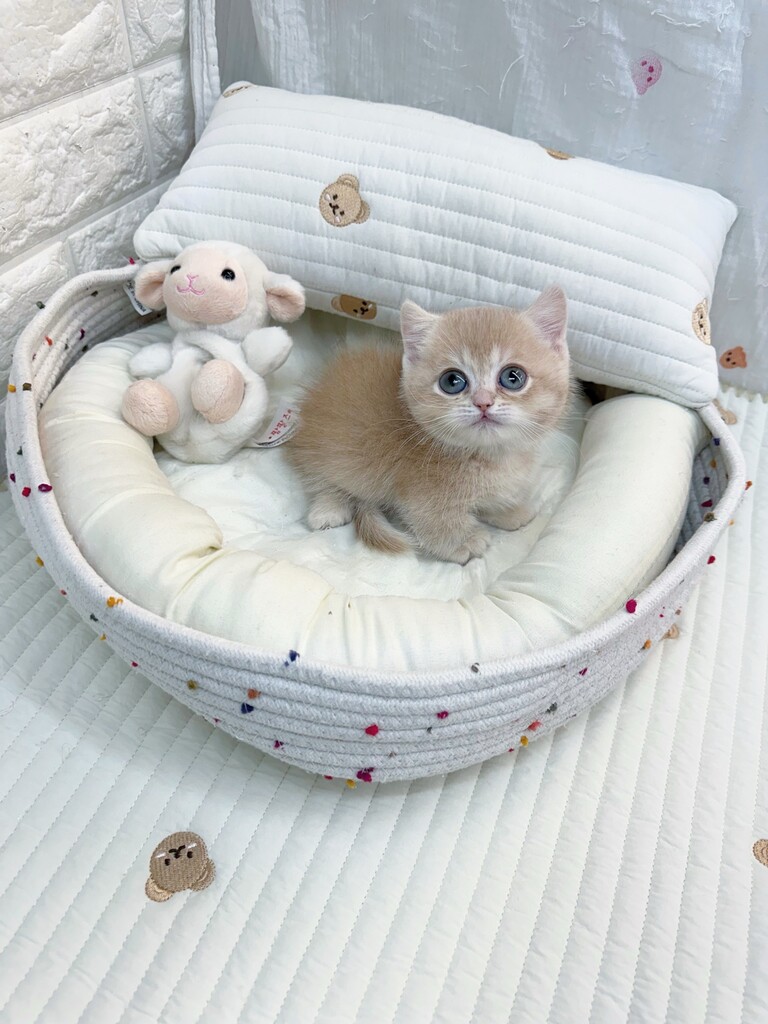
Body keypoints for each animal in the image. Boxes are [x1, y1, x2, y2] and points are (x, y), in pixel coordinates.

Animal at [286, 286, 573, 563]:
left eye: (513, 377)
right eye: (452, 381)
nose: (483, 402)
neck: (487, 455)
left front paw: (509, 510)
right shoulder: (420, 490)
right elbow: (434, 518)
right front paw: (463, 542)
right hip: (334, 453)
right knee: (322, 479)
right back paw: (328, 509)